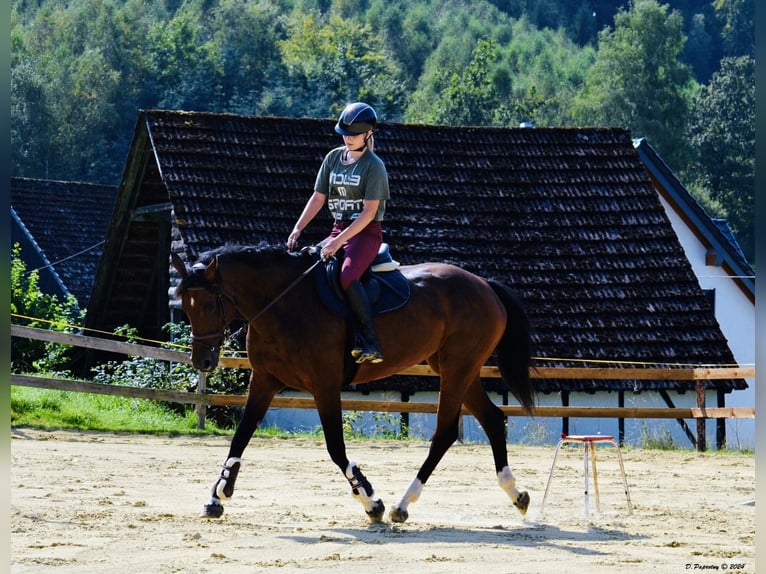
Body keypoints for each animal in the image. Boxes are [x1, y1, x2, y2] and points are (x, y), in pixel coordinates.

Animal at [171, 244, 536, 528]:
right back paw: (516, 494)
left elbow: (335, 447)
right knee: (493, 419)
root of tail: (483, 284)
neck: (285, 304)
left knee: (446, 432)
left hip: (457, 369)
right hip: (459, 369)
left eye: (208, 305)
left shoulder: (325, 386)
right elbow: (240, 437)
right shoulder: (264, 381)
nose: (202, 361)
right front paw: (217, 495)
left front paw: (370, 501)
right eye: (184, 307)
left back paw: (402, 504)